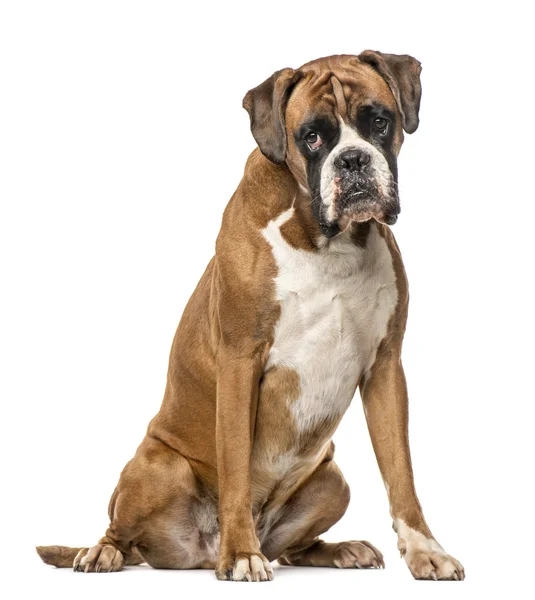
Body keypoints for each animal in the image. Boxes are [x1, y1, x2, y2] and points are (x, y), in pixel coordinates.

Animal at [36, 51, 464, 580]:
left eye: (379, 122)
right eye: (312, 136)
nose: (353, 159)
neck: (325, 239)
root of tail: (199, 553)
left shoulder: (385, 368)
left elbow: (401, 473)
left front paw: (426, 550)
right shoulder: (241, 362)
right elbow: (236, 466)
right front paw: (241, 552)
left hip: (334, 481)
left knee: (293, 548)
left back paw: (340, 549)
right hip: (158, 467)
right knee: (121, 529)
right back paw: (107, 552)